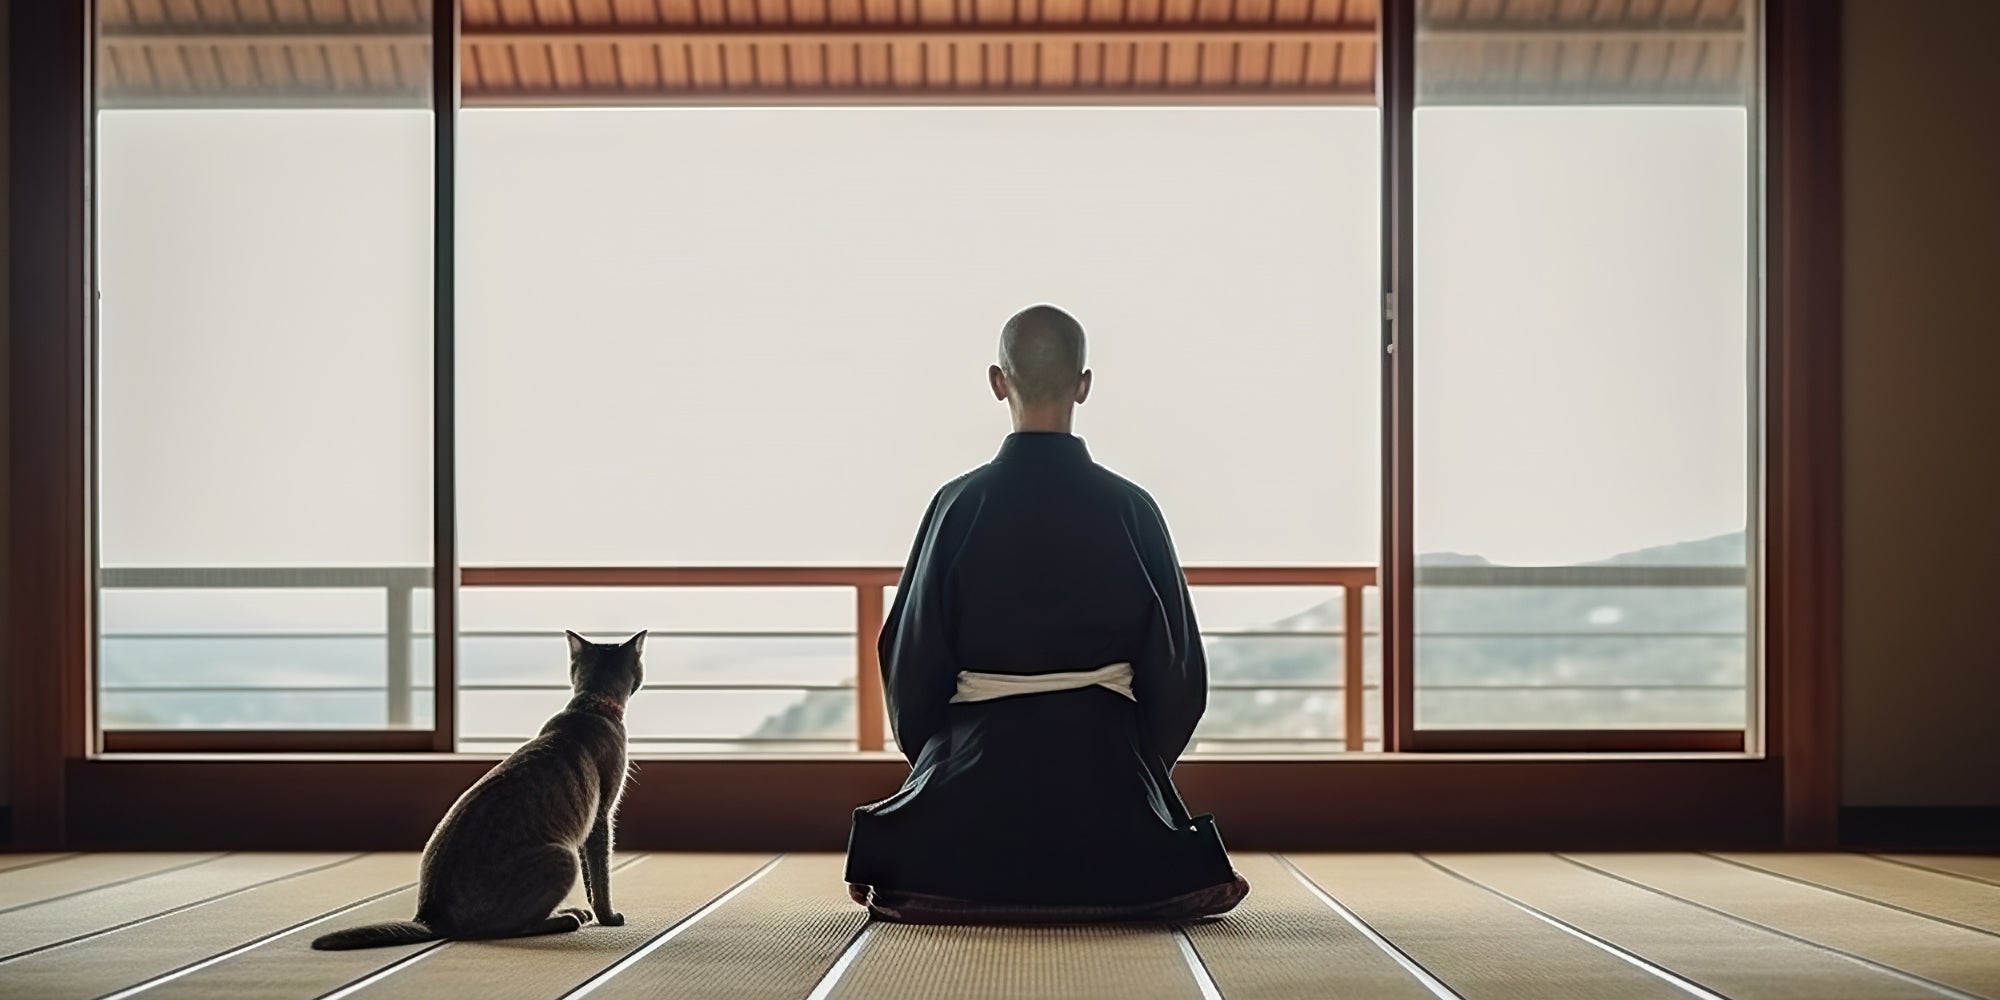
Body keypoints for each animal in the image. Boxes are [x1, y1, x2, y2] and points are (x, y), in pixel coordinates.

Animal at [310, 628, 648, 948]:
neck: (590, 704)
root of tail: (430, 918)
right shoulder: (601, 816)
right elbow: (601, 876)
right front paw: (608, 917)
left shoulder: (588, 827)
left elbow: (592, 877)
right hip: (561, 858)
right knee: (512, 927)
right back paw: (566, 917)